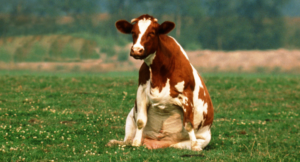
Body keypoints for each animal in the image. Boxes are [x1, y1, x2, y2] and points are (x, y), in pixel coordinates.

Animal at [106, 14, 213, 151]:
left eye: (152, 33)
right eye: (133, 32)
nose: (136, 50)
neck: (160, 72)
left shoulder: (187, 95)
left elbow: (189, 124)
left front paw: (195, 147)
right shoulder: (141, 92)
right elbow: (141, 121)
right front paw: (136, 143)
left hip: (202, 139)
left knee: (179, 144)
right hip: (129, 118)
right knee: (127, 140)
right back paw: (116, 142)